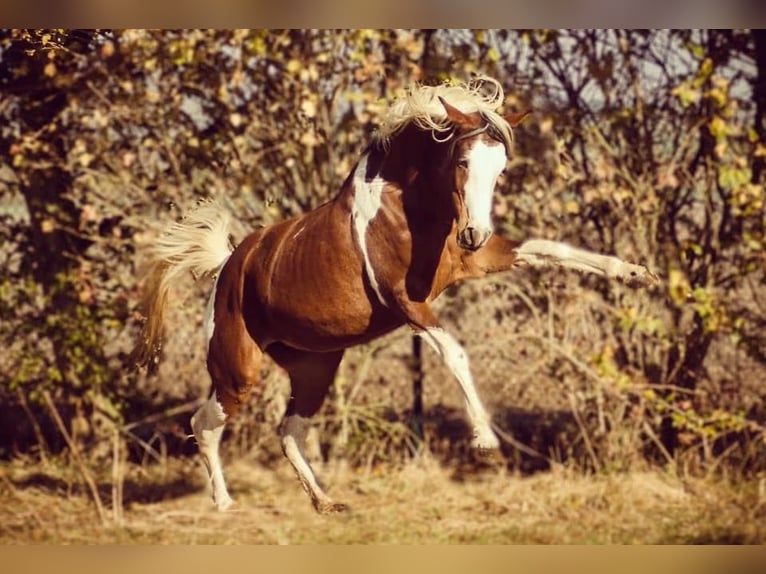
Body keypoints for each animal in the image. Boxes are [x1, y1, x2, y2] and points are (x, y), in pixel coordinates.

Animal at [134, 75, 660, 512]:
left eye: (502, 170)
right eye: (463, 161)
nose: (474, 233)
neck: (409, 209)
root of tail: (227, 267)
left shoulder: (485, 260)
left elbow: (555, 249)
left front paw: (637, 273)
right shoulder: (408, 303)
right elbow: (455, 352)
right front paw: (486, 441)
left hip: (314, 368)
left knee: (288, 430)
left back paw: (325, 502)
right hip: (238, 370)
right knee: (204, 424)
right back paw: (224, 504)